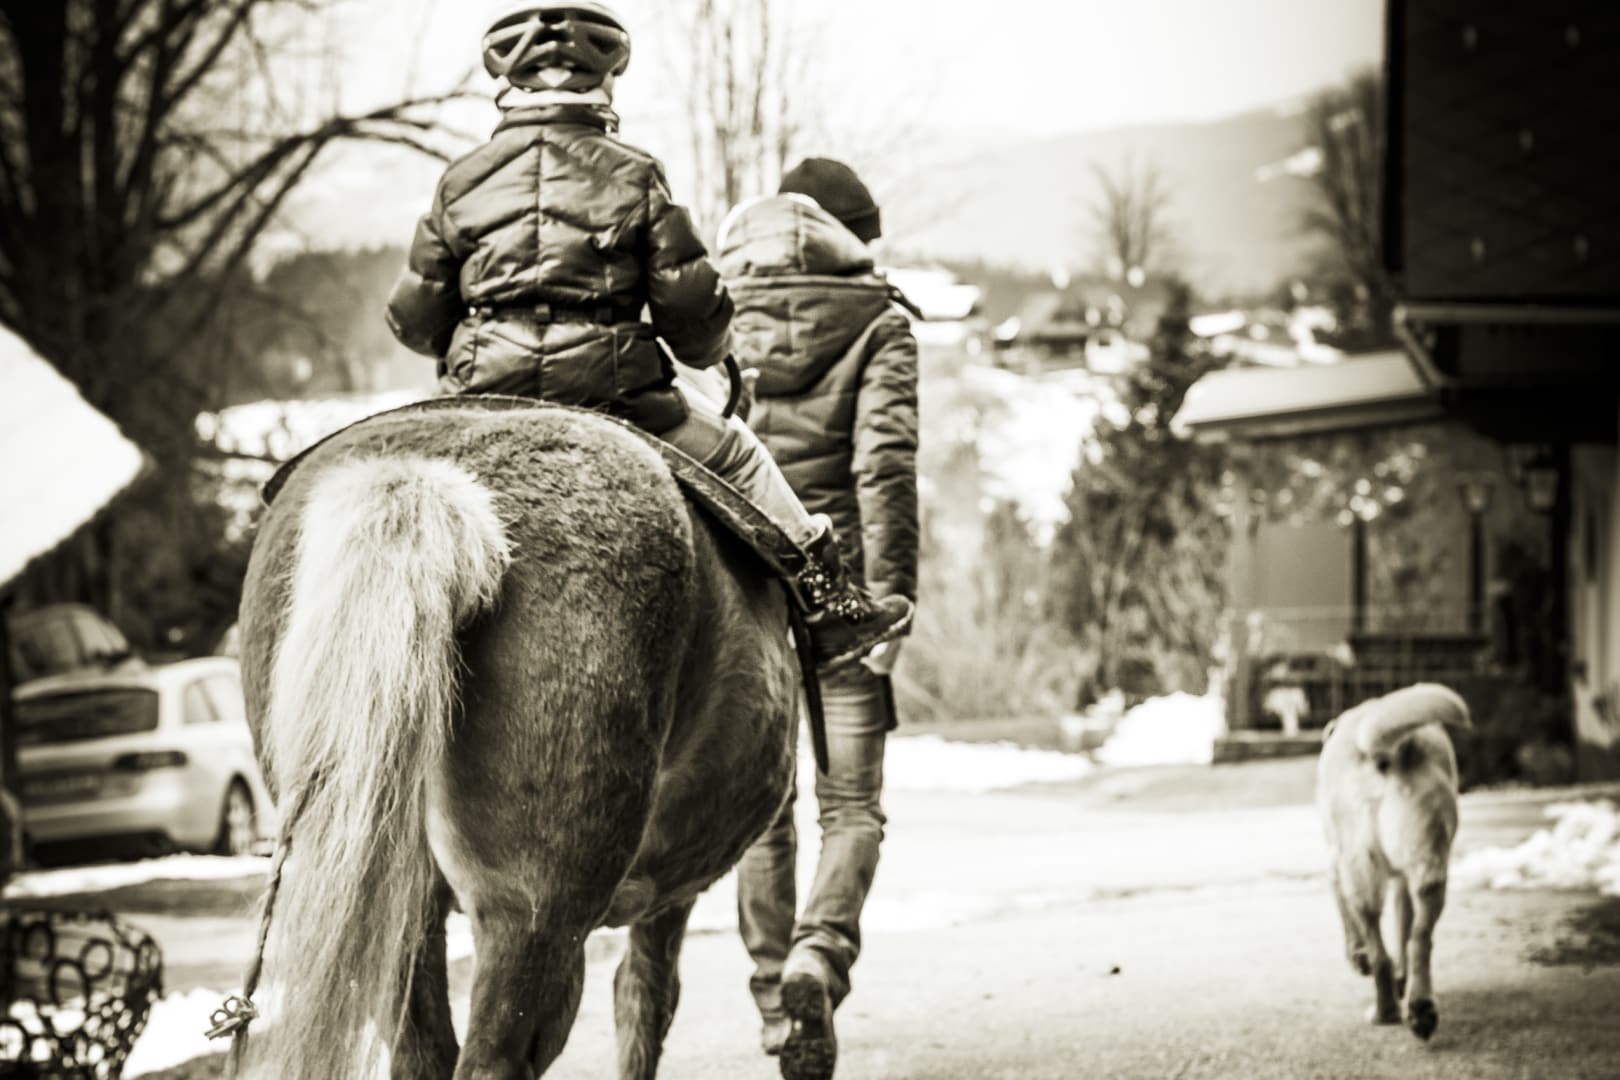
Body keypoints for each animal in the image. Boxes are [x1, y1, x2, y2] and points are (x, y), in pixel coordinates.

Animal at [234, 400, 800, 1079]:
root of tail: (432, 479)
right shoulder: (667, 897)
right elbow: (644, 1001)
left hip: (392, 904)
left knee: (422, 1049)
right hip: (533, 914)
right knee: (498, 1055)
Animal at [1317, 682, 1472, 1040]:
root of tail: (1390, 750)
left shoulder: (1335, 867)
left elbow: (1349, 924)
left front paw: (1356, 956)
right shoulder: (1402, 881)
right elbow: (1405, 927)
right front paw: (1404, 981)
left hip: (1358, 866)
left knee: (1379, 953)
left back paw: (1385, 1011)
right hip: (1428, 860)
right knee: (1419, 938)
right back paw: (1420, 1008)